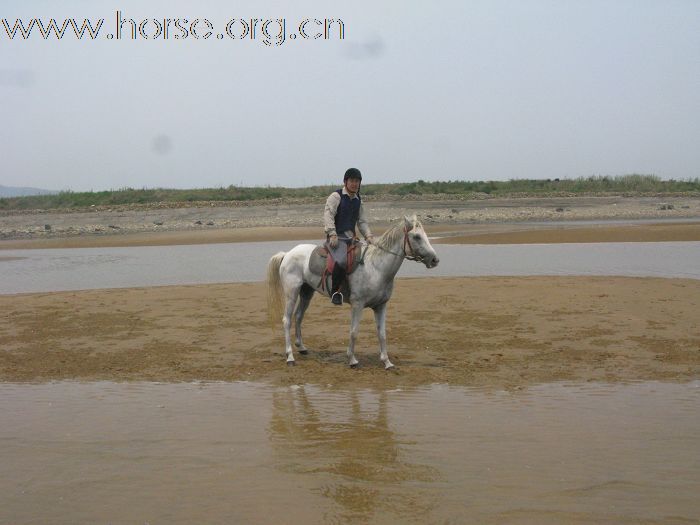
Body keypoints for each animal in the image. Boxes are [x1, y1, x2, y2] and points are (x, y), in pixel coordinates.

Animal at [266, 215, 438, 366]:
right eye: (417, 236)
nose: (435, 260)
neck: (376, 268)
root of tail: (287, 254)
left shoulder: (381, 306)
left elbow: (382, 333)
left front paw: (386, 361)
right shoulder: (358, 305)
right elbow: (354, 331)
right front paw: (352, 359)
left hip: (306, 293)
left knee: (299, 316)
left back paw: (301, 347)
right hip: (292, 293)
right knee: (287, 320)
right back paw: (290, 356)